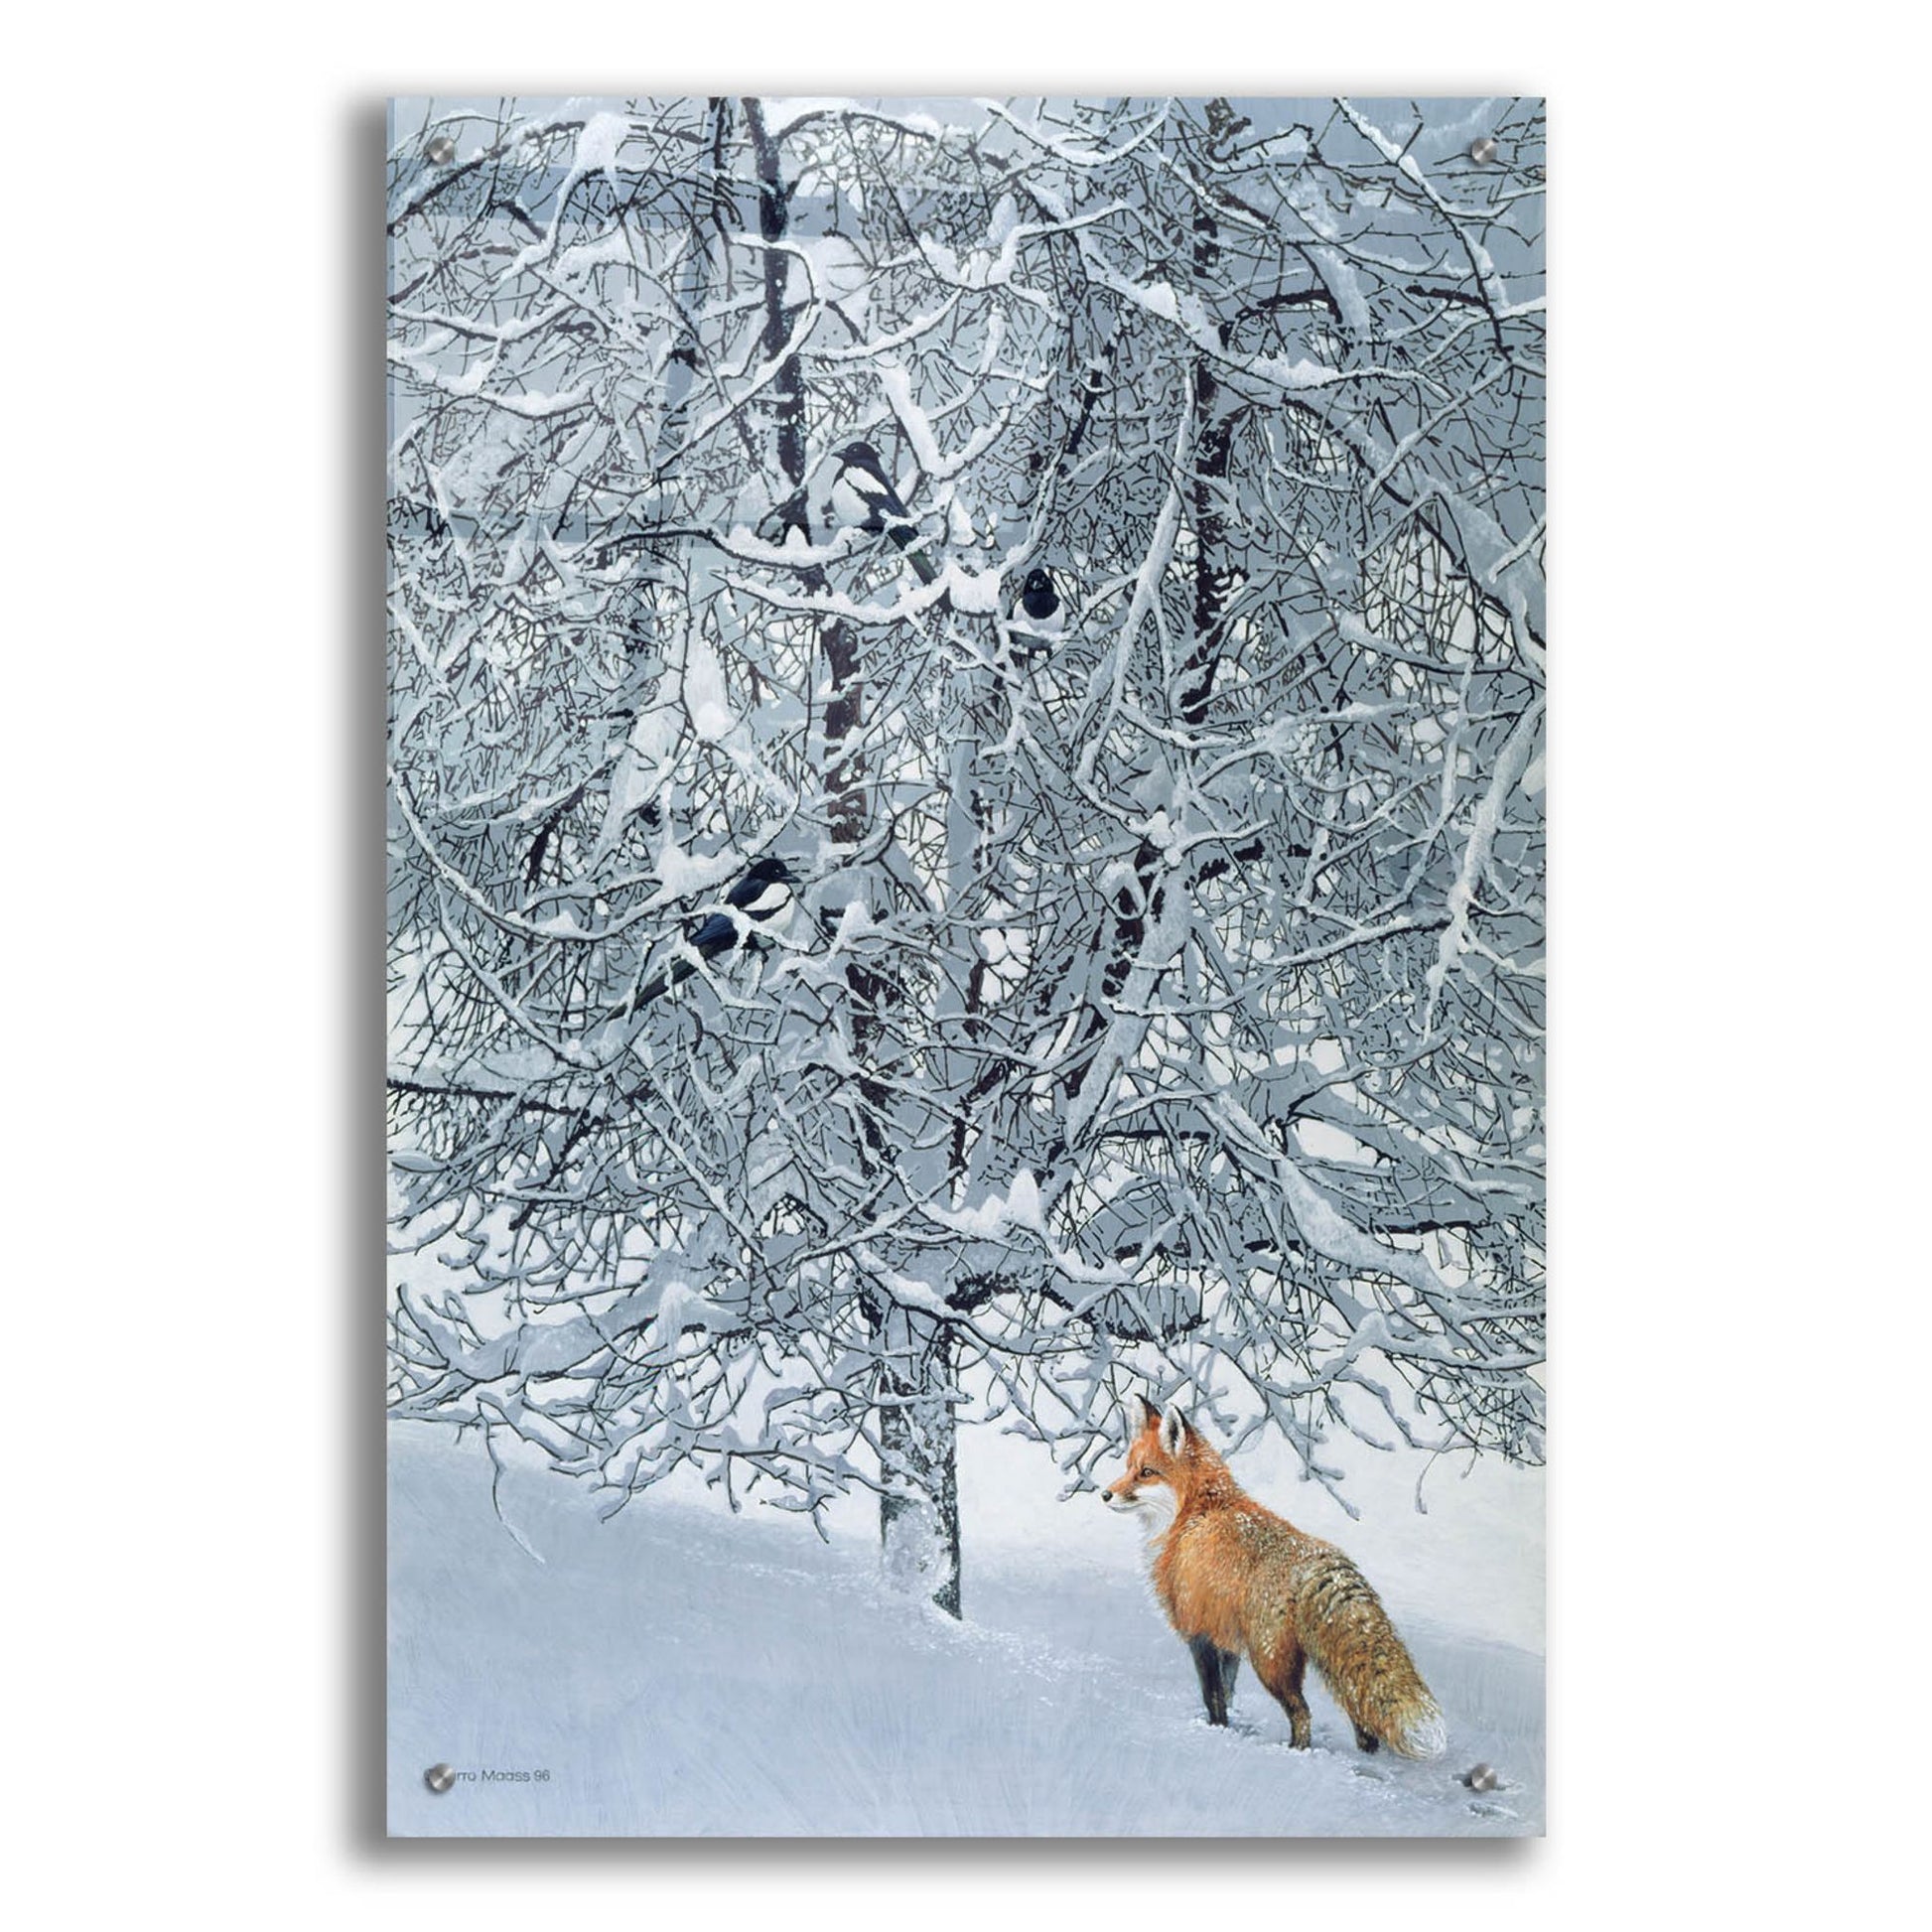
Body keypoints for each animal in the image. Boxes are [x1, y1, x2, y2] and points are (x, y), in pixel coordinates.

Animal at [1103, 1394, 1446, 1760]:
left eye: (1146, 1473)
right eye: (1128, 1467)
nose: (1105, 1494)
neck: (1192, 1515)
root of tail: (1314, 1559)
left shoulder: (1200, 1631)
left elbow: (1214, 1697)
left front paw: (1215, 1733)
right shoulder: (1226, 1639)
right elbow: (1228, 1692)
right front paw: (1229, 1730)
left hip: (1269, 1662)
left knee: (1302, 1712)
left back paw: (1296, 1753)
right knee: (1358, 1712)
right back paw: (1368, 1755)